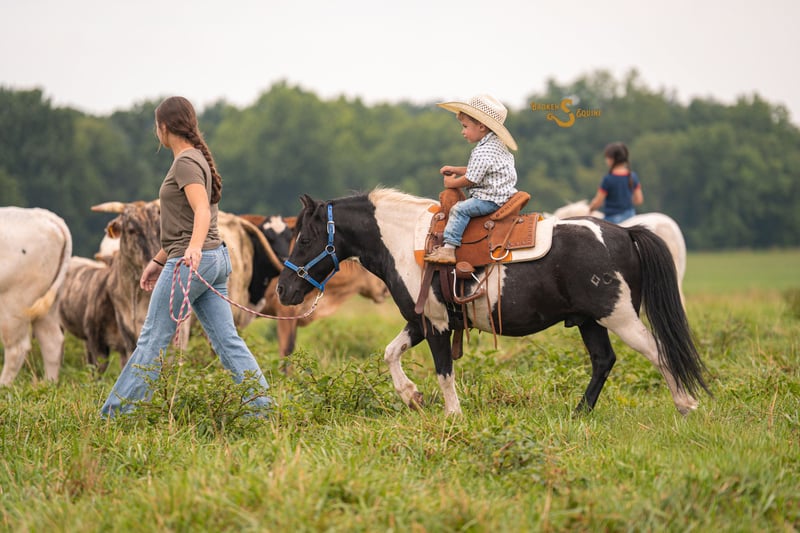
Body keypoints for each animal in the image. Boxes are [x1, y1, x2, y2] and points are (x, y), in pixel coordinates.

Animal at [0, 207, 72, 385]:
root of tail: (44, 215)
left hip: (14, 302)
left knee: (16, 348)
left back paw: (4, 386)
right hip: (50, 304)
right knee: (52, 341)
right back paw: (48, 384)